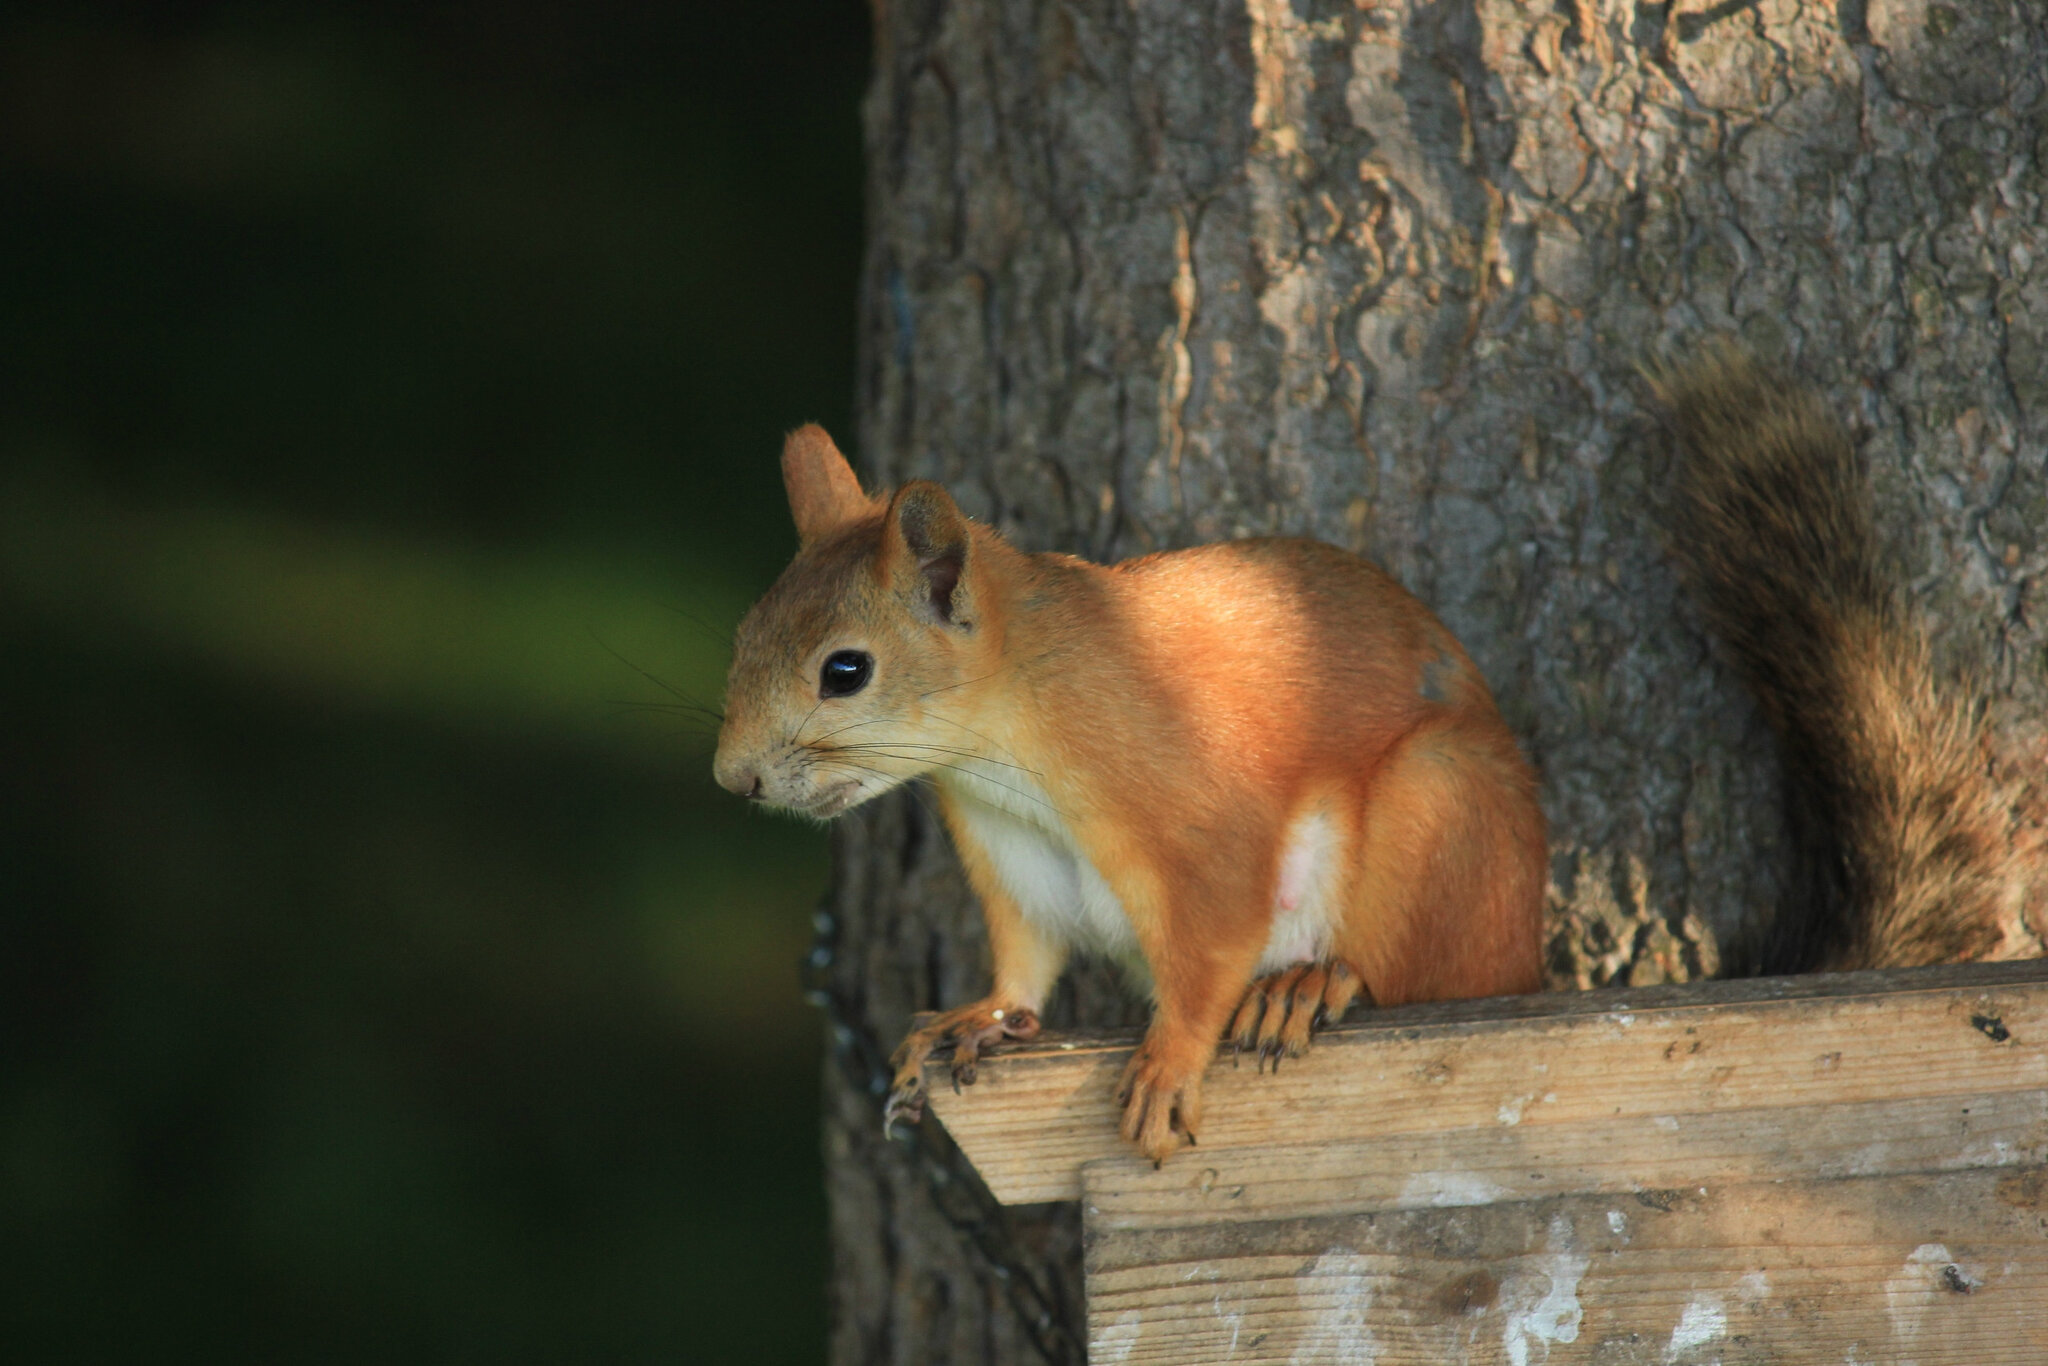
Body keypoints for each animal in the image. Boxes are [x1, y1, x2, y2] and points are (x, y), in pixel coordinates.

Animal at [713, 425, 1546, 1162]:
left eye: (845, 671)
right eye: (745, 637)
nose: (733, 777)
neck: (1004, 743)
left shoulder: (1195, 816)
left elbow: (1213, 950)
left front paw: (1168, 1067)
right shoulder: (1012, 850)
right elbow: (1026, 952)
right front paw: (981, 1015)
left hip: (1437, 805)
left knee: (1415, 974)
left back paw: (1308, 984)